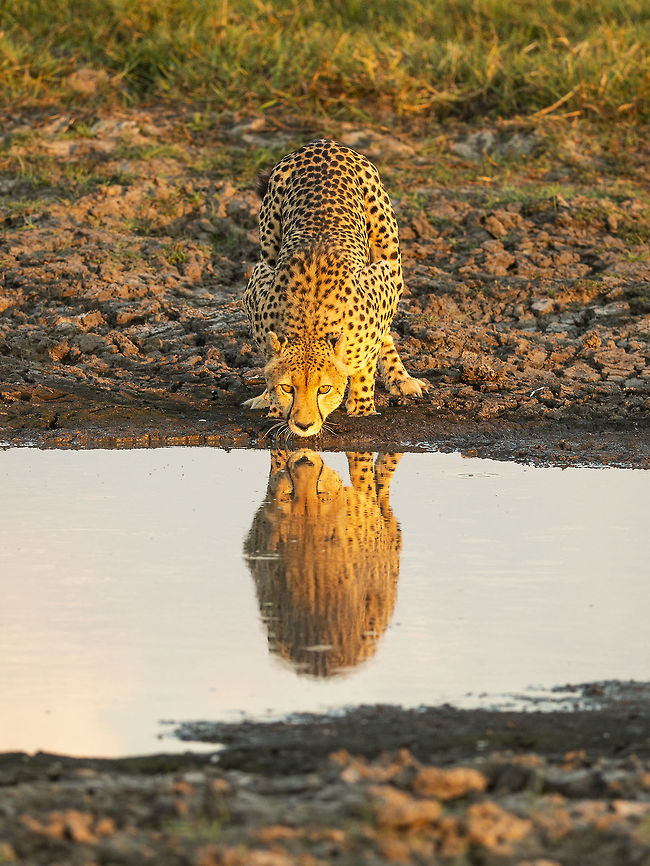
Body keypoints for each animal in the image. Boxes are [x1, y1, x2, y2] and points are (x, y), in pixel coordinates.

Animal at [243, 138, 427, 437]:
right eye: (288, 388)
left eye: (324, 389)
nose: (304, 425)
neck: (309, 322)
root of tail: (323, 143)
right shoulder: (258, 285)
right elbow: (271, 362)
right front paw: (271, 403)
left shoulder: (380, 282)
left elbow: (367, 358)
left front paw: (362, 406)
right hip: (268, 244)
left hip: (389, 254)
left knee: (385, 330)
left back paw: (401, 379)